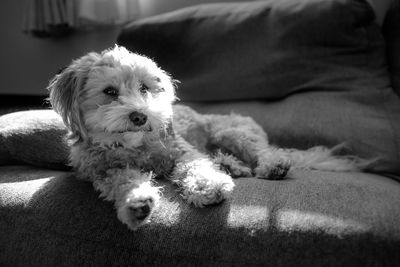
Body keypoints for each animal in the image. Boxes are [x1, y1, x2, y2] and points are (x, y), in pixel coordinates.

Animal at [47, 45, 366, 230]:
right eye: (109, 92)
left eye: (145, 88)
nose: (141, 116)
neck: (133, 147)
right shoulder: (102, 171)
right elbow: (122, 181)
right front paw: (136, 203)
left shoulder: (182, 150)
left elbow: (196, 166)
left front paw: (207, 186)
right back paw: (231, 166)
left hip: (232, 131)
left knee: (262, 152)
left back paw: (271, 165)